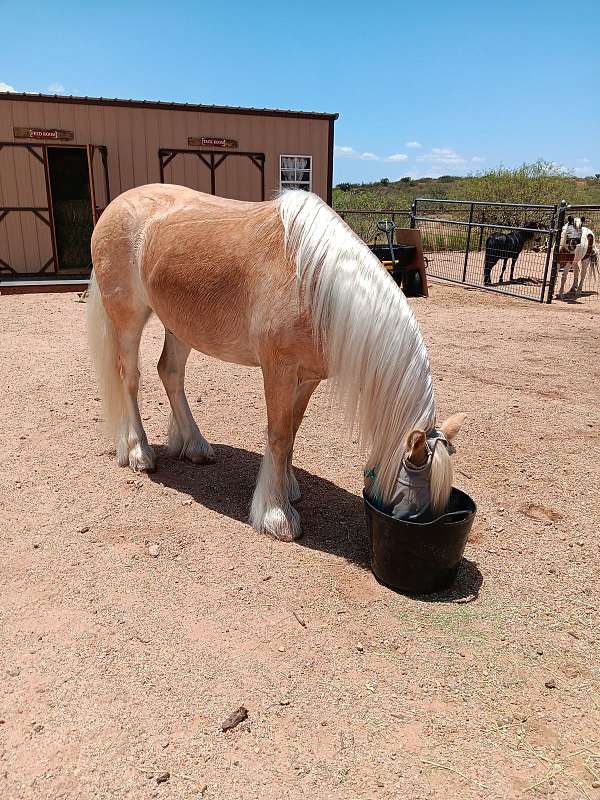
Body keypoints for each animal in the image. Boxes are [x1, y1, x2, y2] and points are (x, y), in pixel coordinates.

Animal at [87, 184, 464, 542]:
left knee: (170, 373)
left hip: (179, 325)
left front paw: (290, 488)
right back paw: (139, 452)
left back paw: (196, 446)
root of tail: (115, 207)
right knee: (129, 378)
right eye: (417, 496)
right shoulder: (278, 370)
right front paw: (276, 514)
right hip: (128, 320)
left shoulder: (308, 377)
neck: (316, 284)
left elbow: (293, 430)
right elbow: (279, 435)